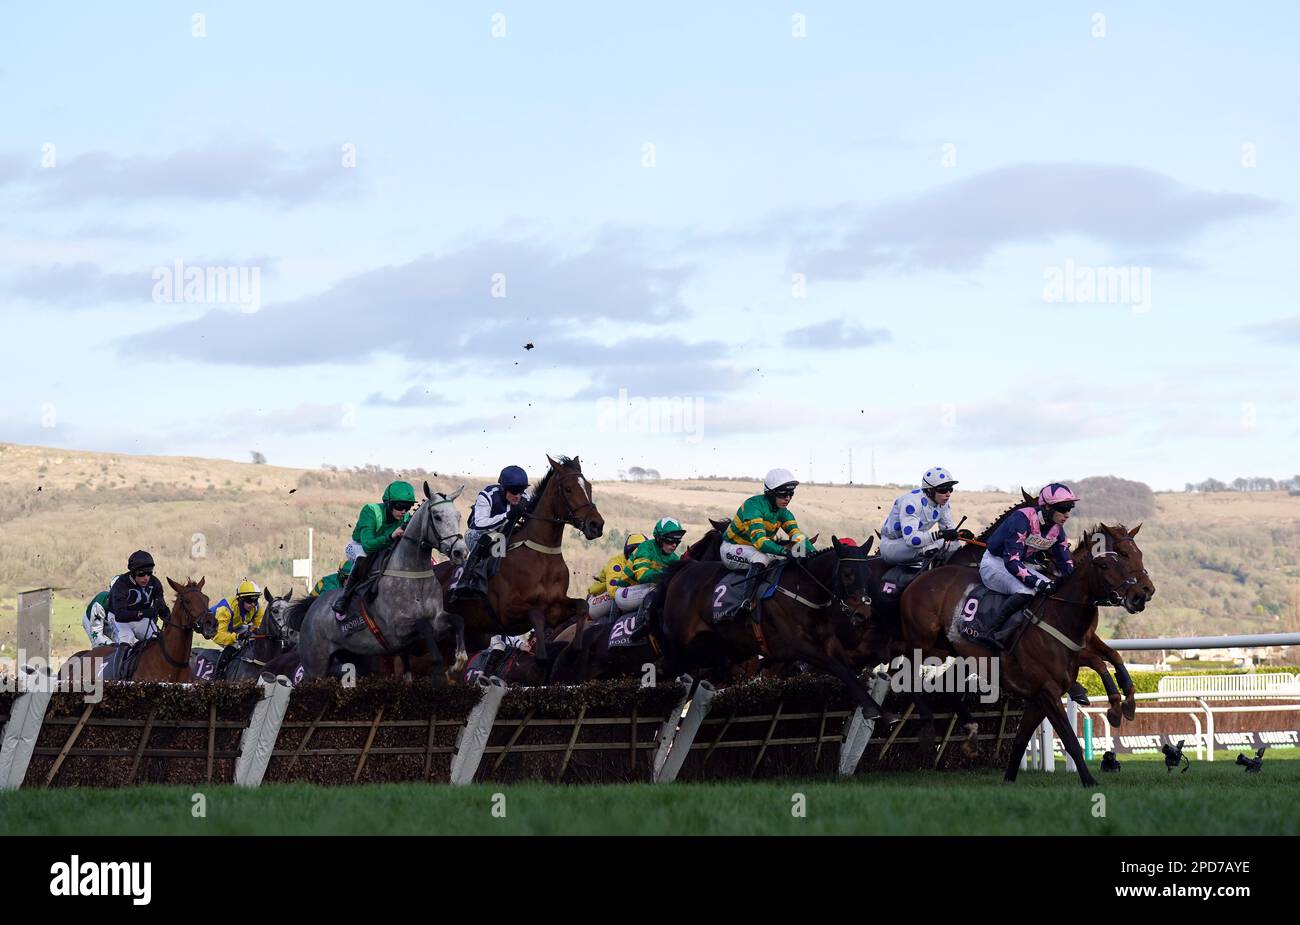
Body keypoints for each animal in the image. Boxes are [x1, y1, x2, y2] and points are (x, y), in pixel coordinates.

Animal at [297, 480, 470, 680]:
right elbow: (424, 626)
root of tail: (312, 606)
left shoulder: (437, 618)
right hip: (314, 668)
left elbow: (458, 620)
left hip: (354, 657)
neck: (414, 577)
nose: (461, 552)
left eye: (458, 516)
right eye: (437, 516)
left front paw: (456, 664)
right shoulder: (396, 630)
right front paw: (441, 666)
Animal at [434, 452, 600, 659]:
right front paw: (541, 654)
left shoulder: (556, 606)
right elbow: (536, 614)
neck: (541, 557)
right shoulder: (506, 612)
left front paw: (576, 647)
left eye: (589, 487)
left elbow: (582, 606)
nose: (596, 525)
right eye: (568, 489)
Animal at [650, 535, 894, 722]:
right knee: (666, 668)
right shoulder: (795, 647)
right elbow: (837, 667)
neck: (803, 591)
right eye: (847, 573)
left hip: (715, 647)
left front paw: (881, 711)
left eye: (868, 573)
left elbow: (847, 669)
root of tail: (686, 569)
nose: (863, 614)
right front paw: (871, 709)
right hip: (680, 643)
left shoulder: (829, 642)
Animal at [899, 524, 1154, 784]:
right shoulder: (1049, 690)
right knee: (907, 675)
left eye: (1136, 555)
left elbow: (1021, 741)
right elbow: (1071, 737)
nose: (1142, 593)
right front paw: (1089, 779)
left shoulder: (1041, 694)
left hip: (949, 650)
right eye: (1106, 564)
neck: (1058, 615)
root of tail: (921, 577)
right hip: (923, 643)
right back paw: (927, 725)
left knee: (940, 683)